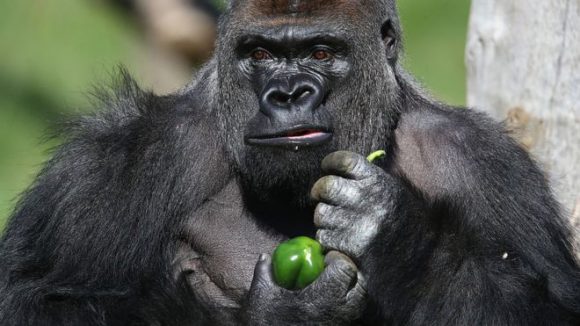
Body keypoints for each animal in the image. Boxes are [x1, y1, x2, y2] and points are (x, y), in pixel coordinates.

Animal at [1, 0, 580, 324]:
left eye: (322, 52)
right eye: (258, 54)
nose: (287, 93)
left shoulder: (489, 167)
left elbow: (546, 307)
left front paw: (389, 228)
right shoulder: (117, 160)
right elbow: (32, 299)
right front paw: (280, 312)